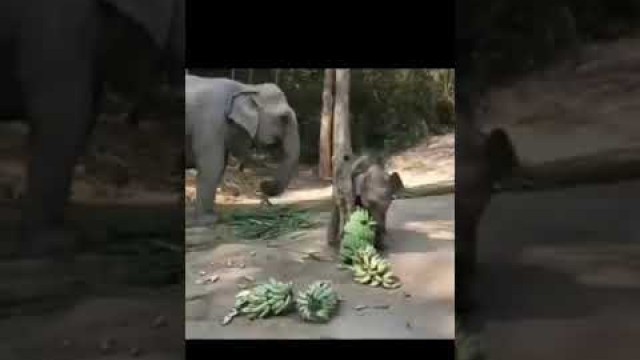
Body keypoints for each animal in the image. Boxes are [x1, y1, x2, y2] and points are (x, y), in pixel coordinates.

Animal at [186, 75, 302, 225]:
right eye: (284, 118)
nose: (263, 184)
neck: (247, 87)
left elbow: (221, 165)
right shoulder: (211, 123)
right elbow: (212, 166)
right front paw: (209, 220)